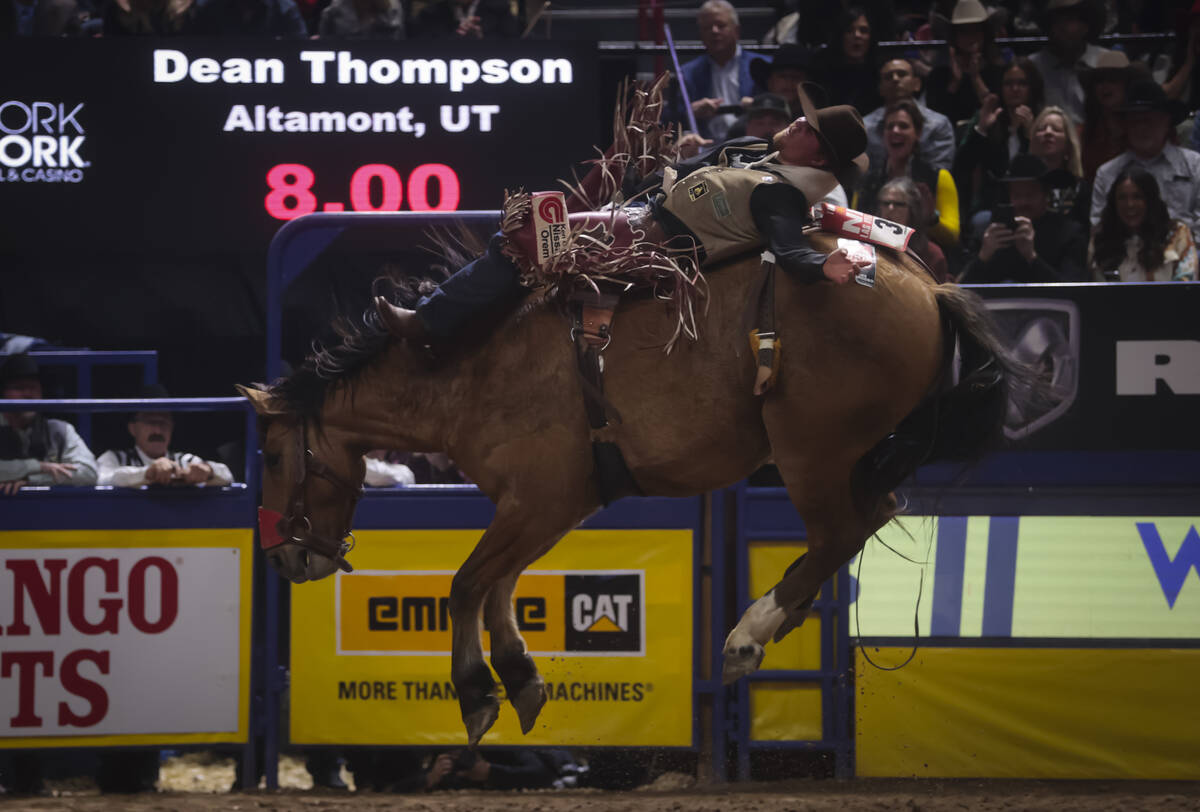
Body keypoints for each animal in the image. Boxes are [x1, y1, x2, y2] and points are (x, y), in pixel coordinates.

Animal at [236, 229, 1041, 748]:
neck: (467, 367)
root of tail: (926, 284)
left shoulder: (538, 500)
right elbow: (498, 587)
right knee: (868, 517)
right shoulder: (550, 508)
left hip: (811, 450)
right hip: (848, 455)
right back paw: (778, 616)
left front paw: (476, 694)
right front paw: (521, 678)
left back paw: (748, 634)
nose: (283, 556)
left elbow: (467, 584)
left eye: (272, 455)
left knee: (840, 529)